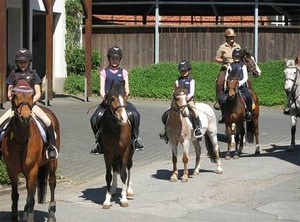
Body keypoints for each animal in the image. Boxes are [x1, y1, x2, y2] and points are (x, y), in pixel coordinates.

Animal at [1, 80, 60, 221]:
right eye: (15, 95)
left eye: (32, 95)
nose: (25, 117)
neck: (22, 139)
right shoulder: (11, 170)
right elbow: (15, 195)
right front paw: (15, 217)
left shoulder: (33, 169)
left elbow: (31, 198)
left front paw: (30, 217)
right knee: (29, 187)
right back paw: (25, 213)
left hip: (52, 163)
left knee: (52, 182)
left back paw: (51, 213)